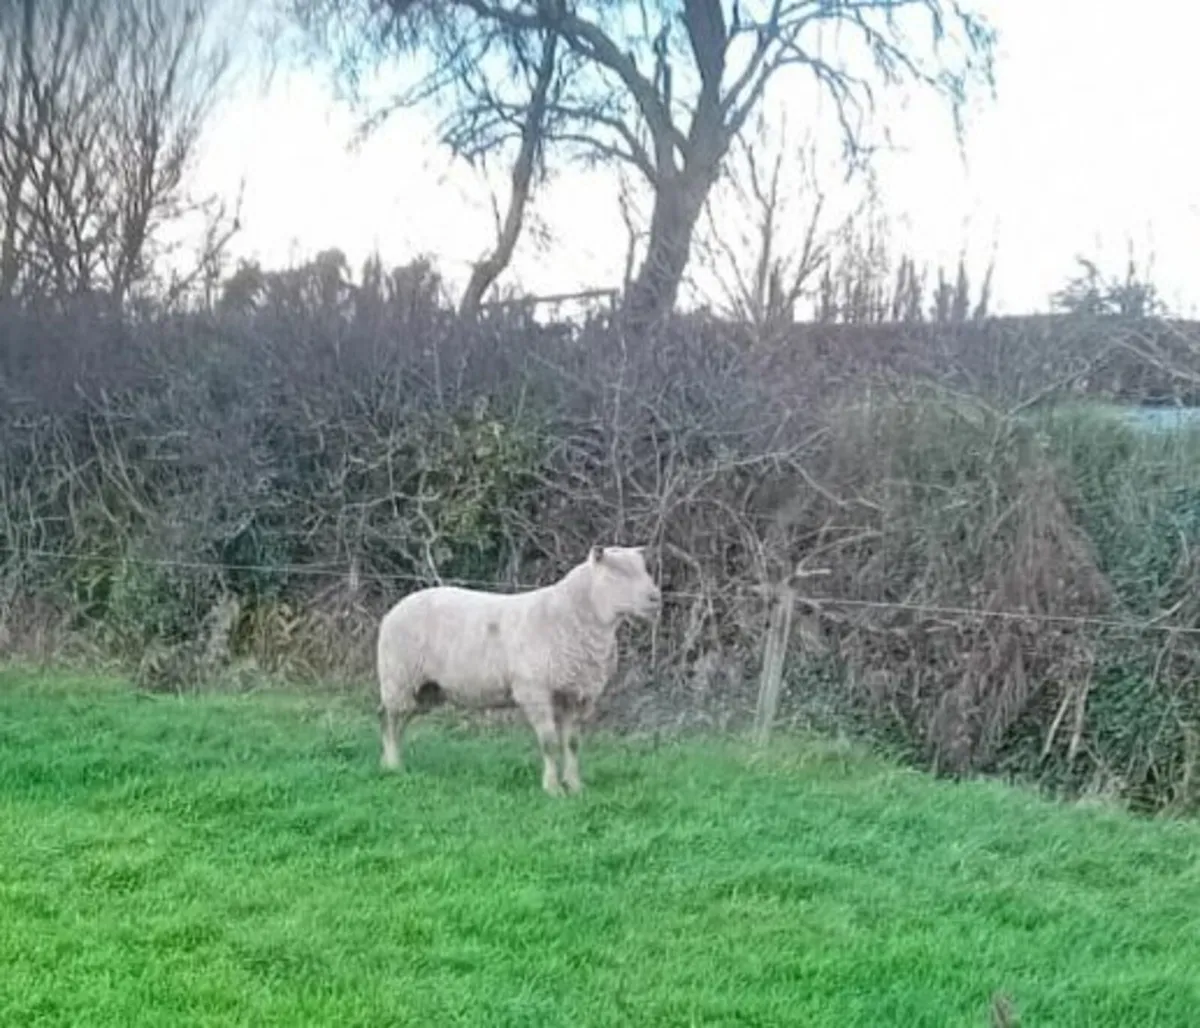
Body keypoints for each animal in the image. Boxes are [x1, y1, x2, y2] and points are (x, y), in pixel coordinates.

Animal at [376, 545, 661, 795]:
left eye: (644, 569)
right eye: (617, 573)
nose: (655, 599)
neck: (572, 614)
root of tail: (395, 610)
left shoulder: (575, 694)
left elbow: (572, 744)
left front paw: (575, 786)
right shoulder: (535, 690)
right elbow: (549, 743)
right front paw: (553, 789)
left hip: (425, 688)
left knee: (399, 720)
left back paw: (391, 762)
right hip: (399, 675)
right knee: (388, 718)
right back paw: (393, 767)